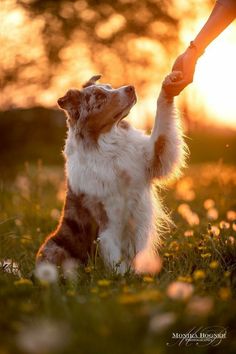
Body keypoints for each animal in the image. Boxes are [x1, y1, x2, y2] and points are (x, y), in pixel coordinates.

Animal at [36, 72, 186, 274]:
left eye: (110, 87)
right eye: (100, 96)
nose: (130, 87)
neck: (108, 144)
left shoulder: (152, 158)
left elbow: (162, 126)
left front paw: (169, 84)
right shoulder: (107, 222)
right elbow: (116, 260)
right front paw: (125, 278)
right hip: (54, 247)